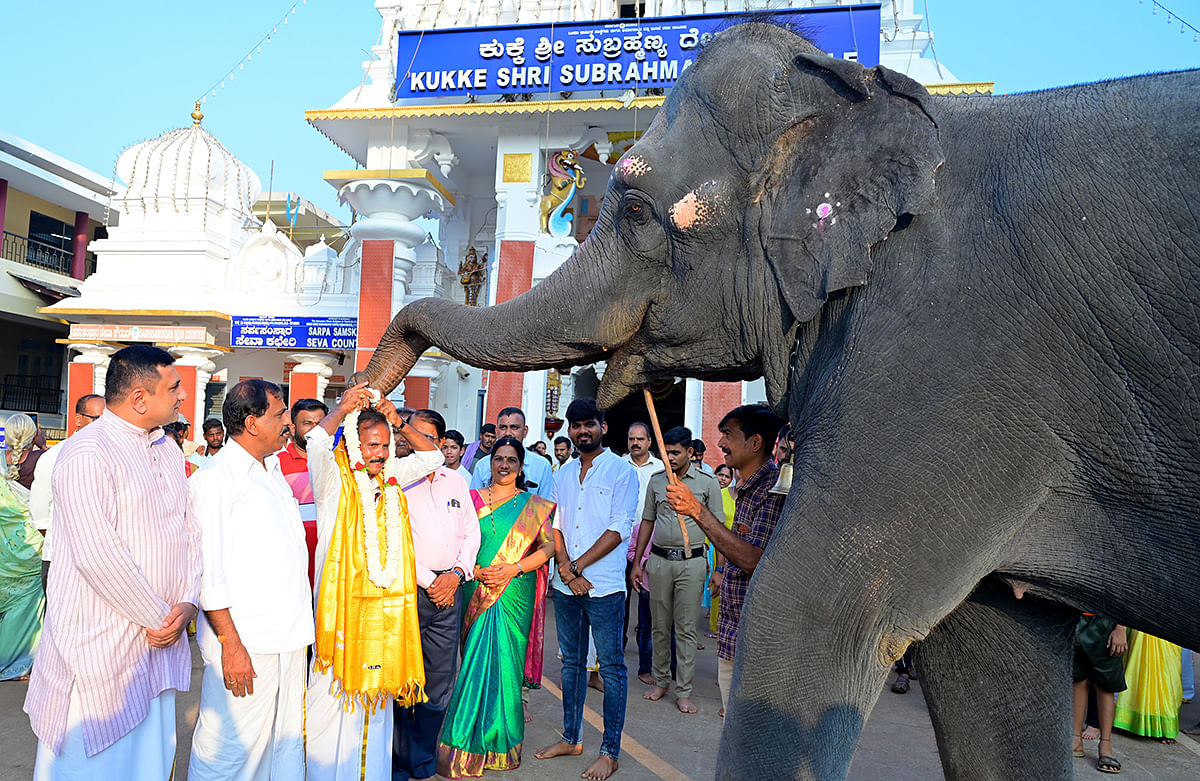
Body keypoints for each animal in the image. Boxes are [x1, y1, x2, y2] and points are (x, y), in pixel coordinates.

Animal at [350, 22, 1195, 781]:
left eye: (636, 210)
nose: (367, 397)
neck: (868, 96)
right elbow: (992, 657)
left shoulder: (948, 356)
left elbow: (805, 615)